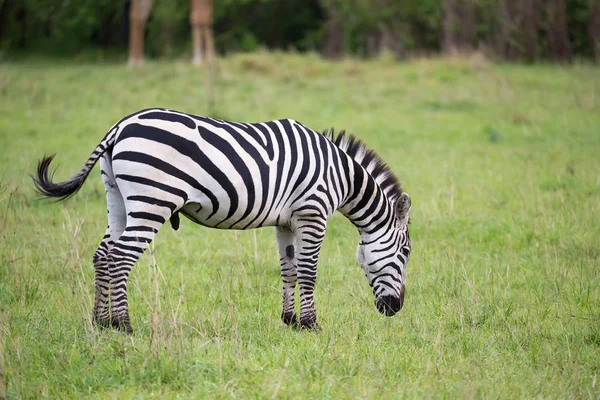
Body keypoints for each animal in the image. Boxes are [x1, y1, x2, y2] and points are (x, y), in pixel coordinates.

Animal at [32, 108, 410, 332]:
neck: (340, 176)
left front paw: (289, 321)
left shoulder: (286, 222)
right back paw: (123, 325)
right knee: (121, 257)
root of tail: (120, 125)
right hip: (153, 199)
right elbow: (308, 271)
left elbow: (288, 269)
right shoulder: (312, 213)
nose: (395, 309)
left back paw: (100, 322)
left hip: (117, 198)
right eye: (405, 254)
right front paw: (311, 324)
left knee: (103, 254)